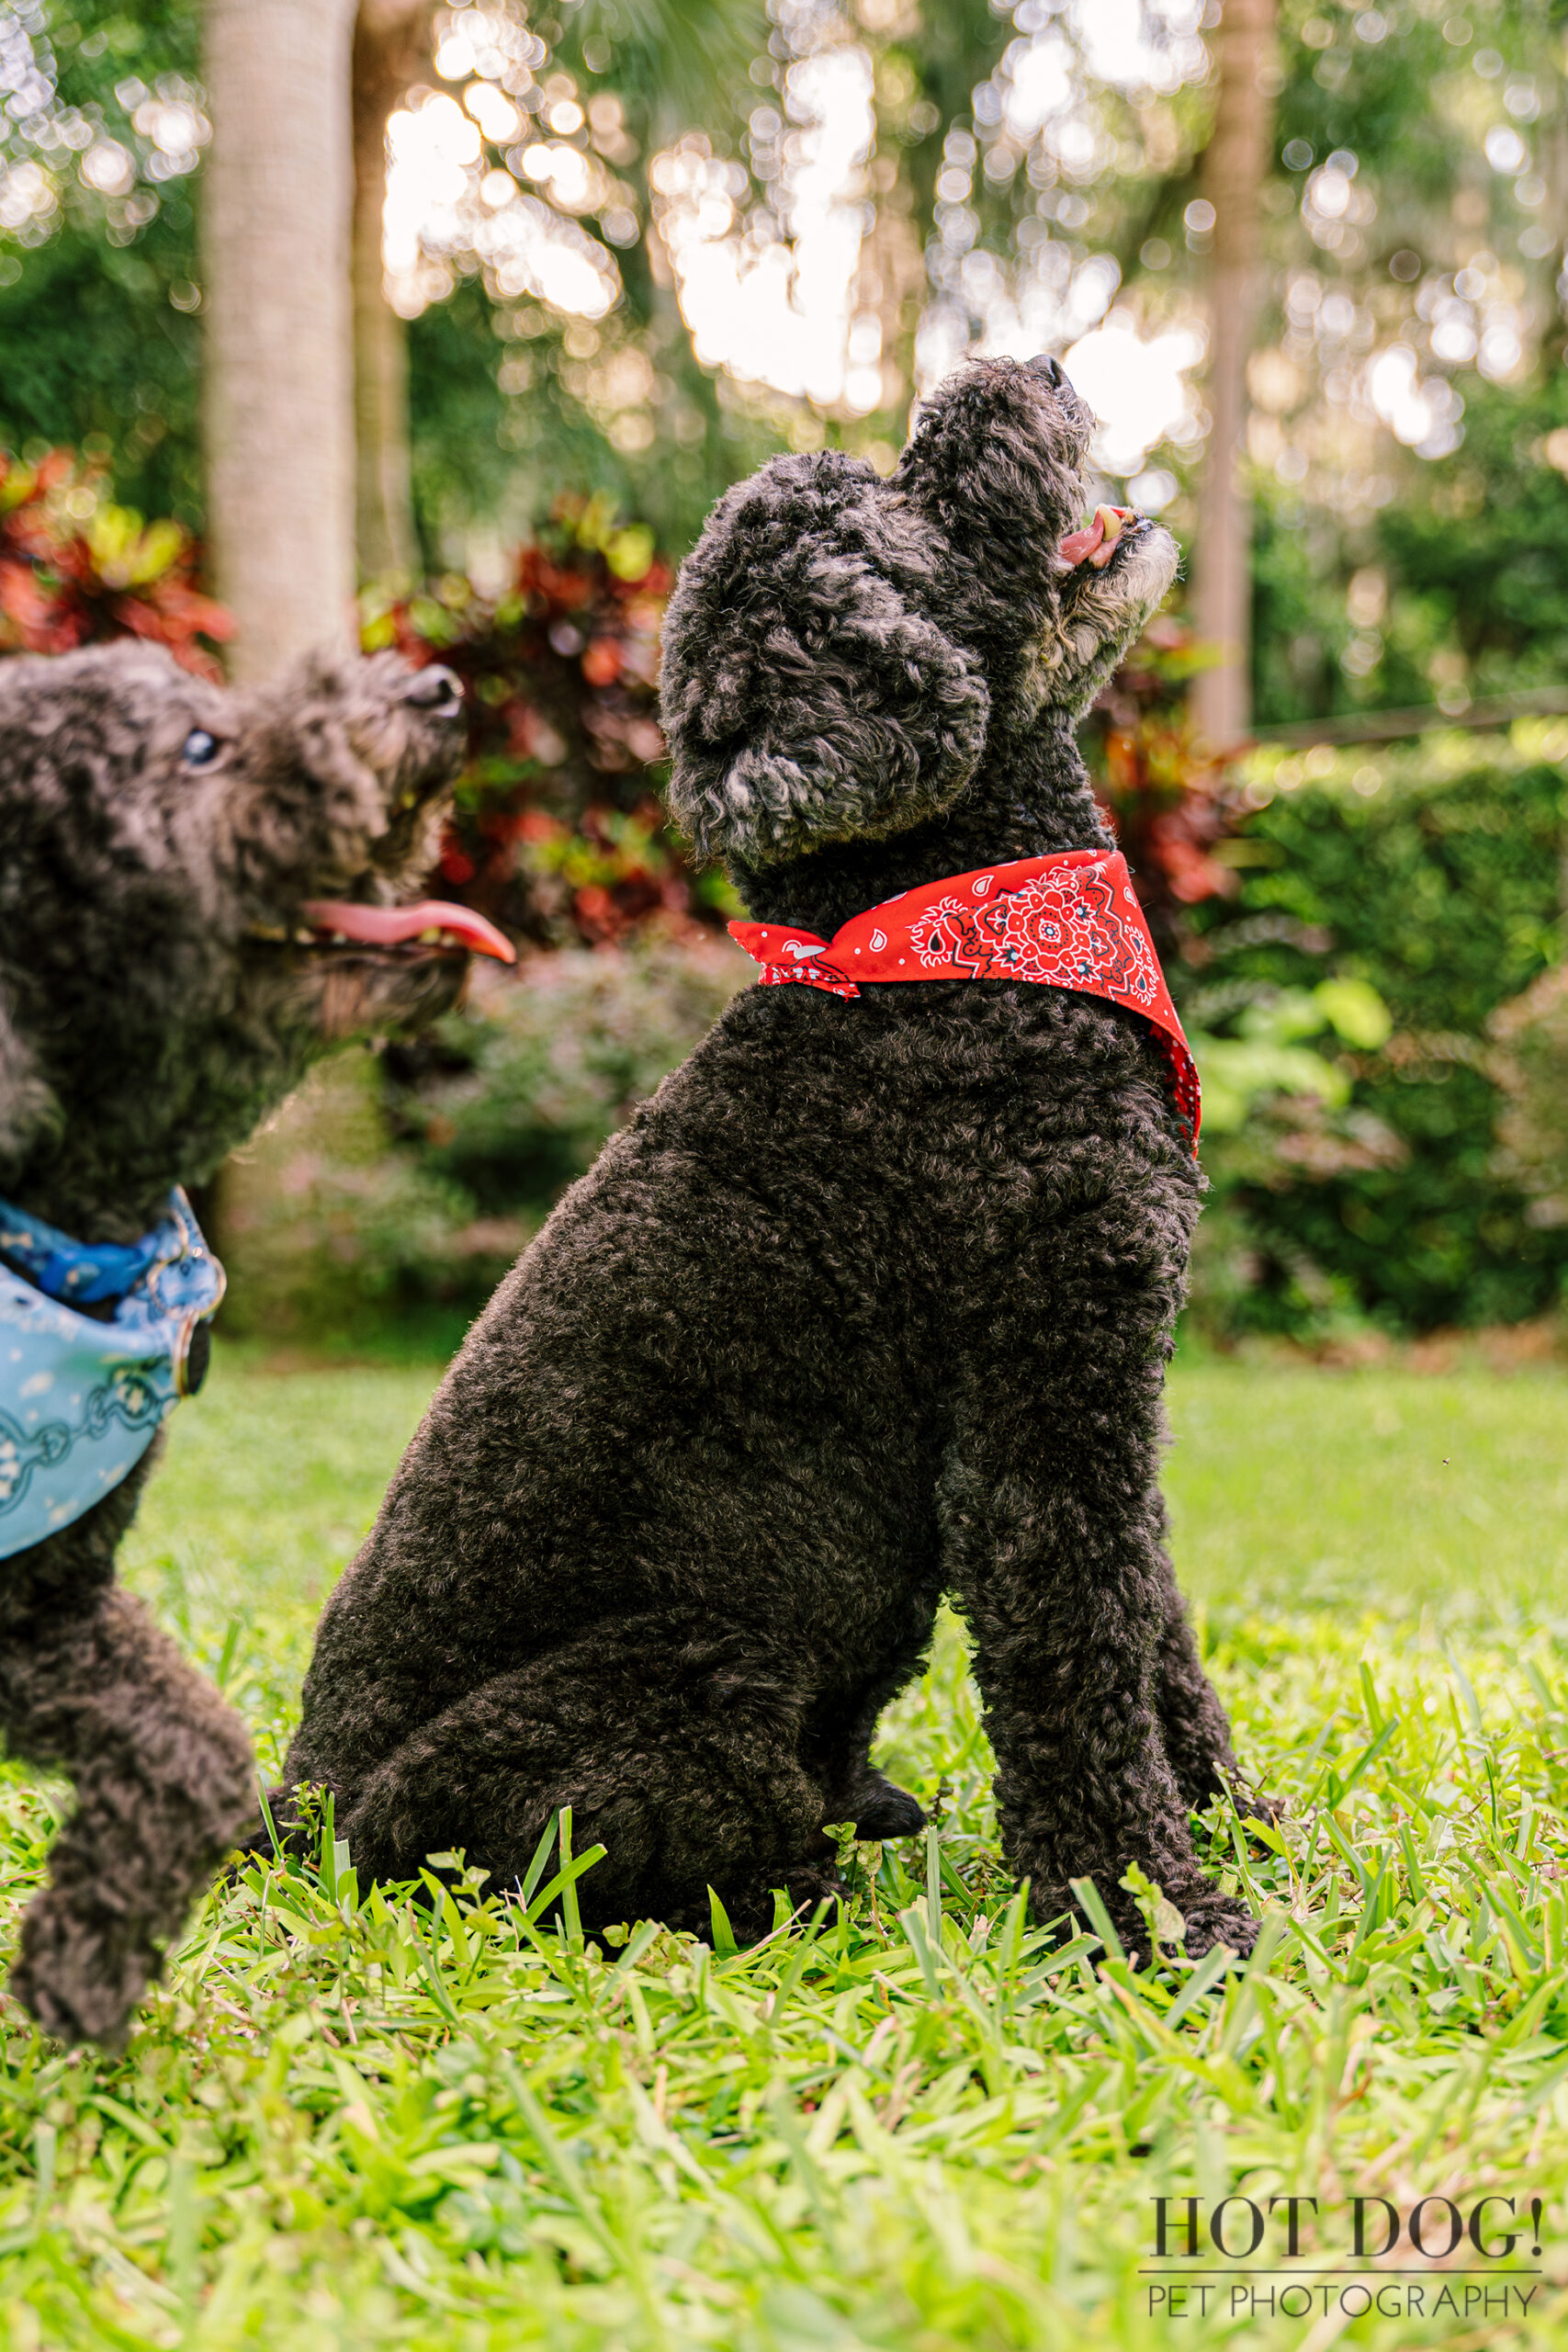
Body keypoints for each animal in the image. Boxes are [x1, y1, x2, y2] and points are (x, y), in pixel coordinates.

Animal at [285, 357, 1259, 1956]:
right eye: (903, 506)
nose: (1030, 369)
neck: (936, 936)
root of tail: (292, 1815)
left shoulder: (1104, 1380)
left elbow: (1157, 1634)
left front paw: (1241, 1828)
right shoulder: (1037, 1412)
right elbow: (1076, 1662)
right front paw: (1145, 1916)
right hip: (679, 1667)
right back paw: (808, 1878)